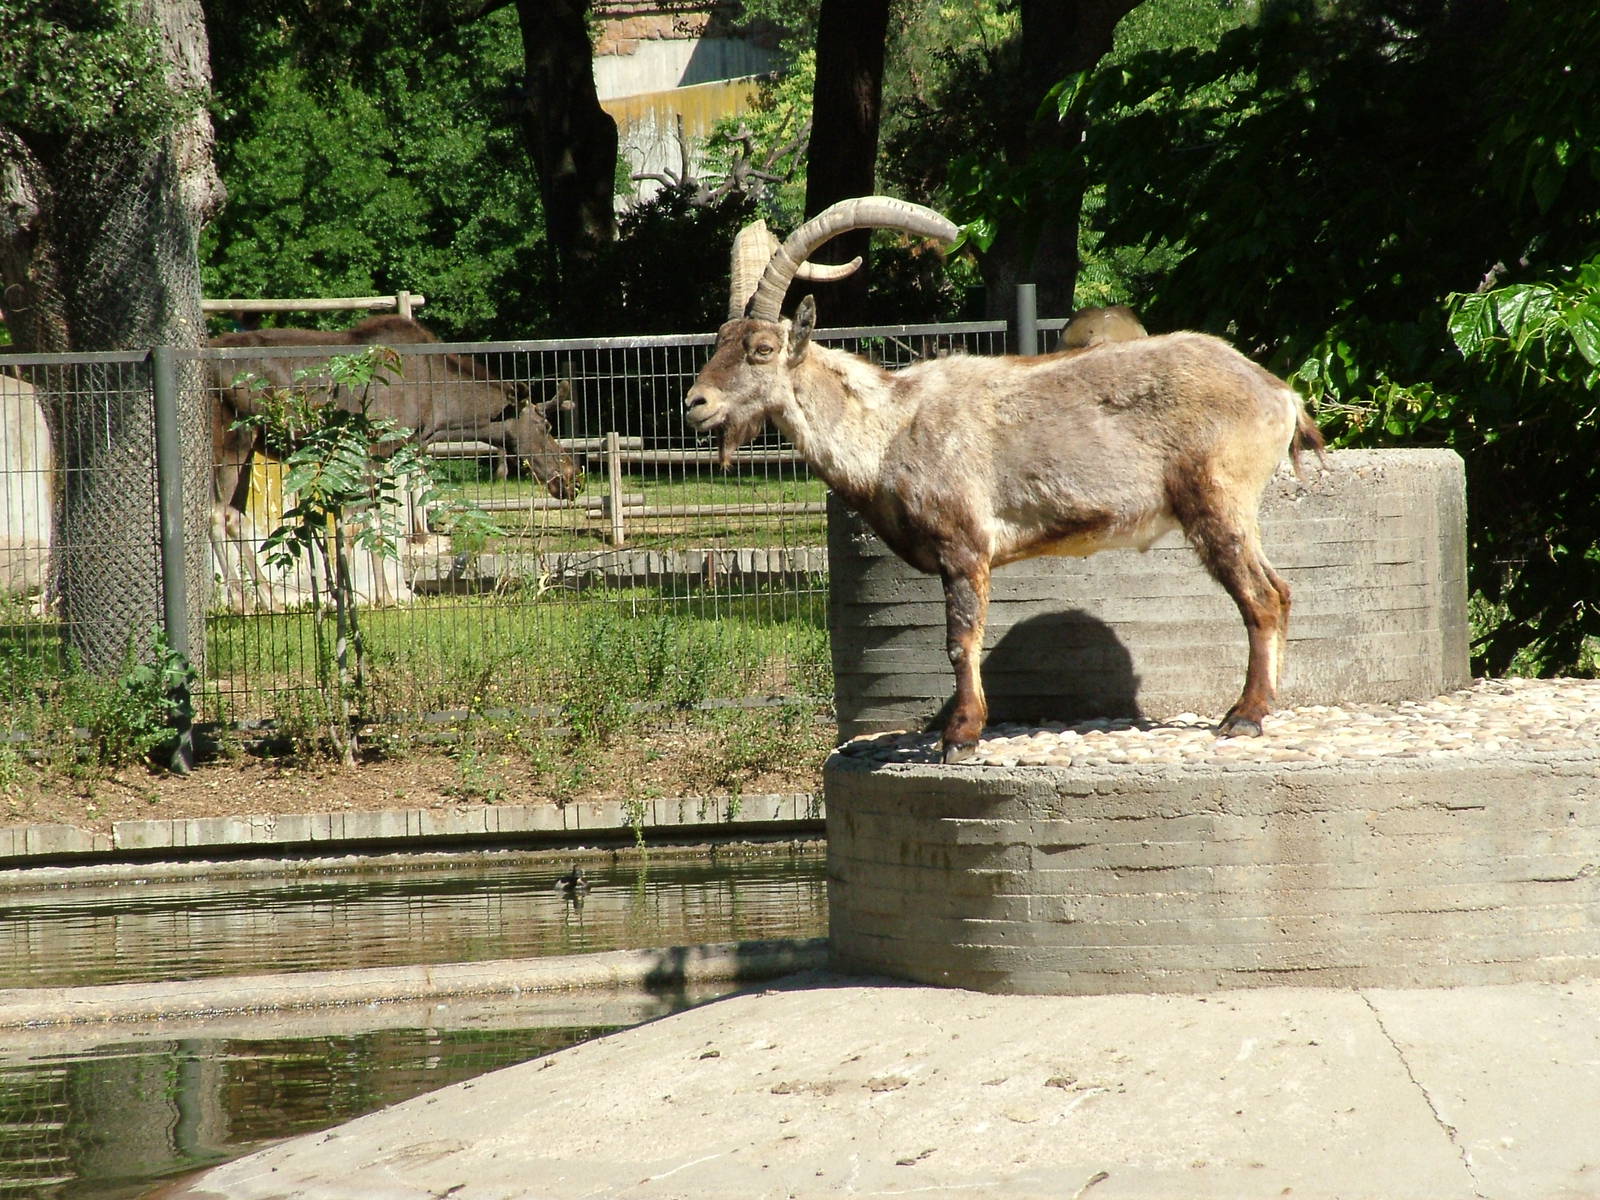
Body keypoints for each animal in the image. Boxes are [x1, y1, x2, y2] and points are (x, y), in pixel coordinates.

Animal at [684, 197, 1324, 763]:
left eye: (763, 348)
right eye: (717, 342)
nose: (696, 403)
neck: (889, 427)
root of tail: (1279, 393)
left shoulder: (964, 545)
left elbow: (960, 640)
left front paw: (961, 737)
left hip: (1217, 501)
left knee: (1261, 597)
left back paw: (1245, 717)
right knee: (1282, 589)